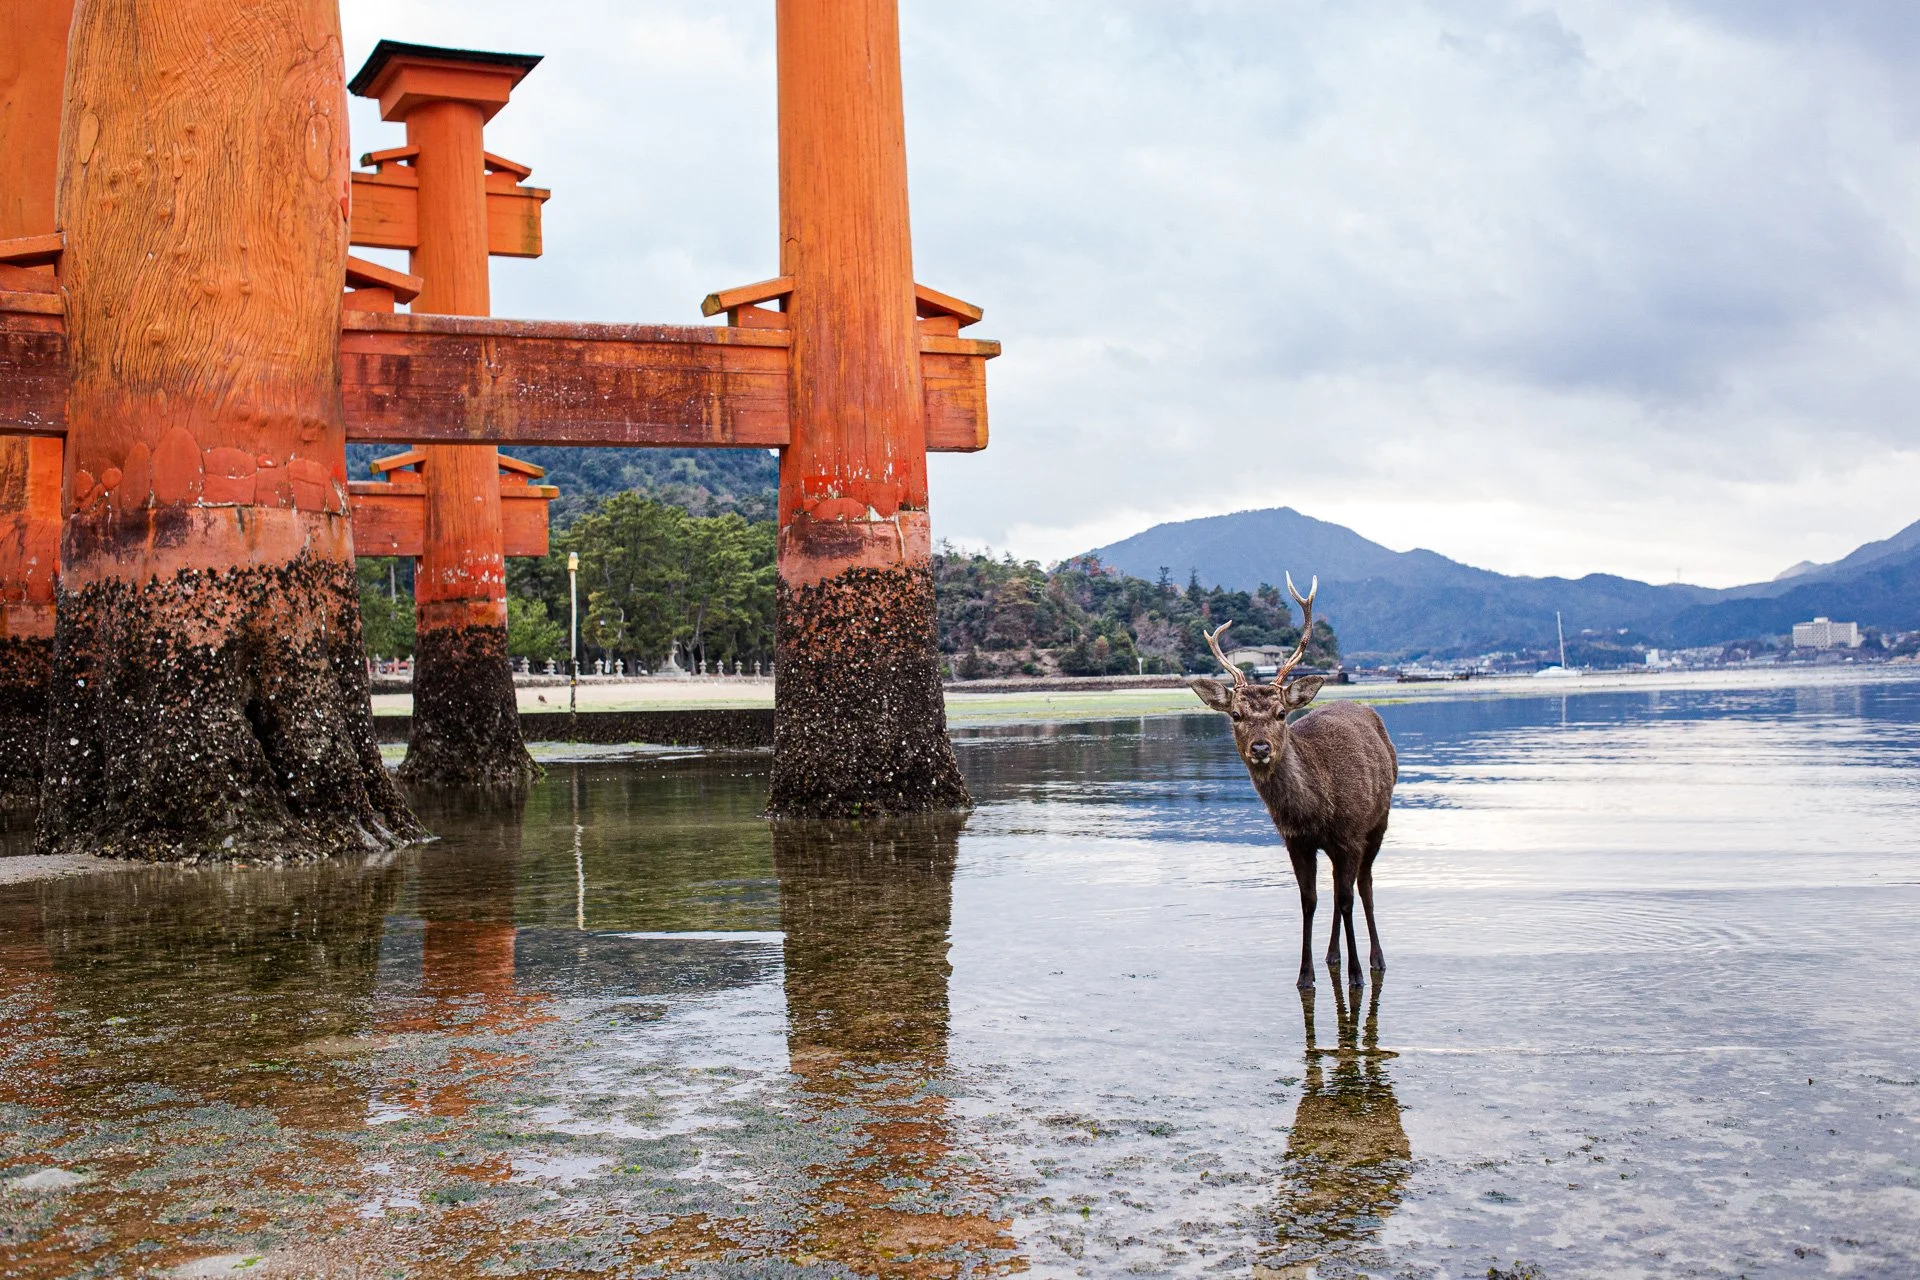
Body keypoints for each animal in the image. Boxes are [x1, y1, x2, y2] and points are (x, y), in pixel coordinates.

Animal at [1191, 575, 1397, 990]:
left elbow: (1348, 899)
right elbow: (1309, 900)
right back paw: (1332, 955)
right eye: (1235, 714)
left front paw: (1356, 975)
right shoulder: (1295, 841)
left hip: (1379, 821)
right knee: (1337, 889)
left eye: (1281, 712)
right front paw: (1305, 975)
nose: (1260, 747)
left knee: (1363, 886)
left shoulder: (1350, 835)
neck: (1316, 810)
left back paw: (1375, 960)